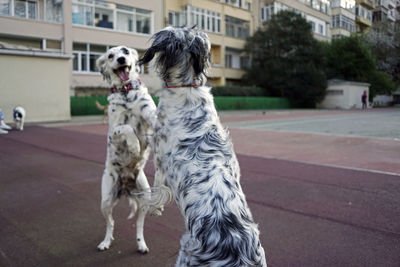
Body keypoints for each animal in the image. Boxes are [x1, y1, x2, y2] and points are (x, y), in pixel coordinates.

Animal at [95, 46, 156, 255]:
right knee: (110, 223)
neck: (126, 93)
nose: (121, 59)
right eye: (110, 56)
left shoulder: (150, 116)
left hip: (146, 197)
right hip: (105, 200)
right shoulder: (114, 129)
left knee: (139, 225)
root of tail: (126, 184)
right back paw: (105, 242)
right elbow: (127, 128)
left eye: (126, 51)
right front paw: (134, 145)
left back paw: (142, 244)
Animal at [139, 26, 268, 266]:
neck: (187, 87)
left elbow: (157, 191)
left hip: (184, 257)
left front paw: (154, 208)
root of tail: (237, 253)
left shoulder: (160, 161)